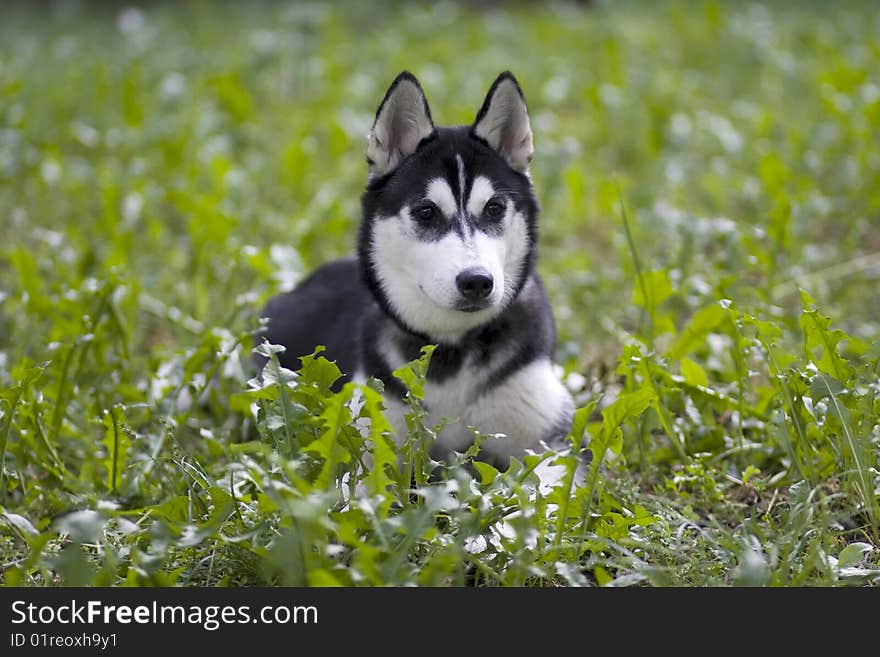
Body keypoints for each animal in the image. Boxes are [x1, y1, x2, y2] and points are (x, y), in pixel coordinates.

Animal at [258, 72, 576, 466]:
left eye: (494, 208)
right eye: (426, 212)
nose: (477, 282)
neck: (451, 349)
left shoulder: (551, 442)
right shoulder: (369, 444)